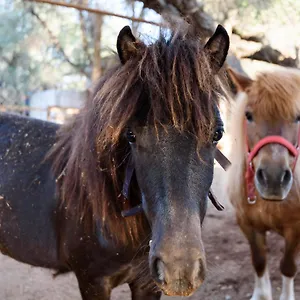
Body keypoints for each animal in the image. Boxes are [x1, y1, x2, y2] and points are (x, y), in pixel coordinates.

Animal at [227, 68, 300, 300]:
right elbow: (259, 261)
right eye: (249, 116)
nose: (273, 179)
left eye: (298, 117)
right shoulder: (247, 224)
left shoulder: (295, 229)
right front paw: (261, 294)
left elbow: (288, 266)